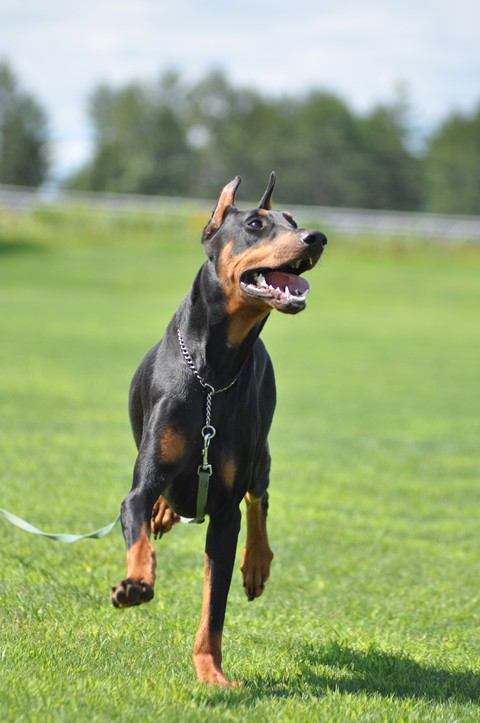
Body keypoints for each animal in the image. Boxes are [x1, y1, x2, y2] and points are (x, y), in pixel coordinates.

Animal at [112, 173, 326, 688]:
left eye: (293, 220)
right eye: (255, 224)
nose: (317, 237)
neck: (213, 373)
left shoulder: (226, 512)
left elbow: (215, 603)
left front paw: (211, 673)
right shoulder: (141, 484)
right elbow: (139, 524)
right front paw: (136, 583)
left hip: (261, 449)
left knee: (259, 495)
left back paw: (257, 562)